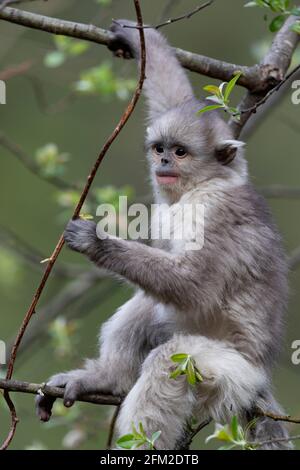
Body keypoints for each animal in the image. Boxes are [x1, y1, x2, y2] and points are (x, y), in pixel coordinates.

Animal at [35, 20, 290, 450]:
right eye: (160, 149)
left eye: (181, 152)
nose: (165, 162)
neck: (200, 187)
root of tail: (259, 380)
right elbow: (172, 95)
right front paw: (139, 40)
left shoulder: (218, 213)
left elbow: (197, 285)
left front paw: (96, 241)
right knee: (146, 304)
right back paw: (107, 379)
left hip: (228, 373)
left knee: (170, 360)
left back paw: (142, 443)